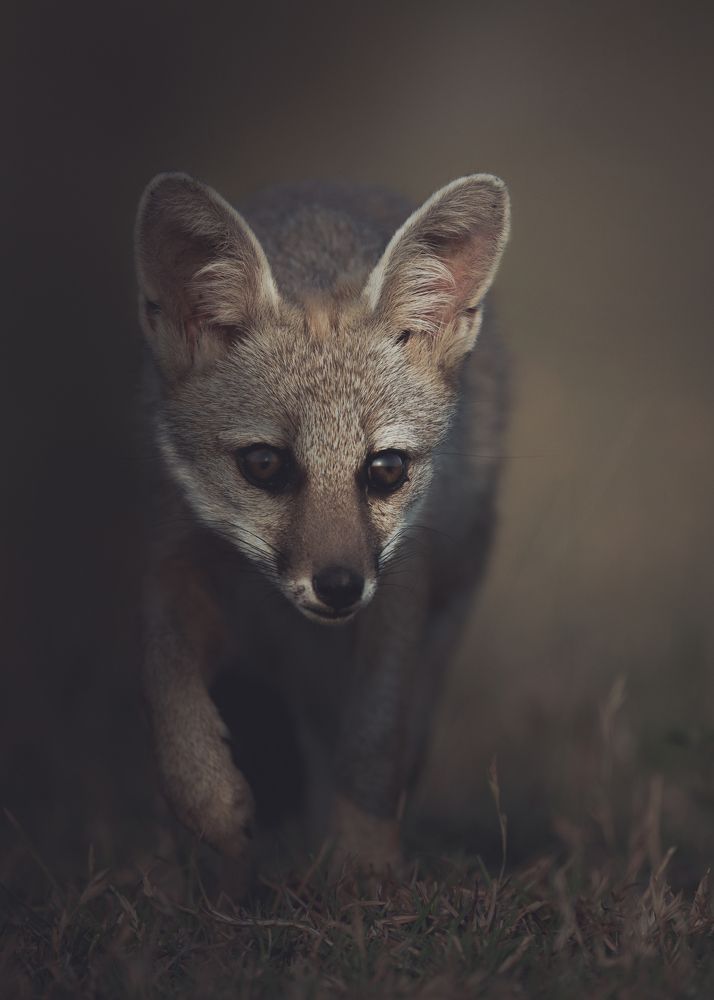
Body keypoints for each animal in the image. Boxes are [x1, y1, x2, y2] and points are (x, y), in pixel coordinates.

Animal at [134, 171, 510, 879]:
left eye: (385, 469)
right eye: (264, 464)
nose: (338, 586)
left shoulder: (400, 589)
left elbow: (373, 741)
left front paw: (364, 865)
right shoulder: (175, 554)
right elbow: (166, 680)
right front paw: (208, 801)